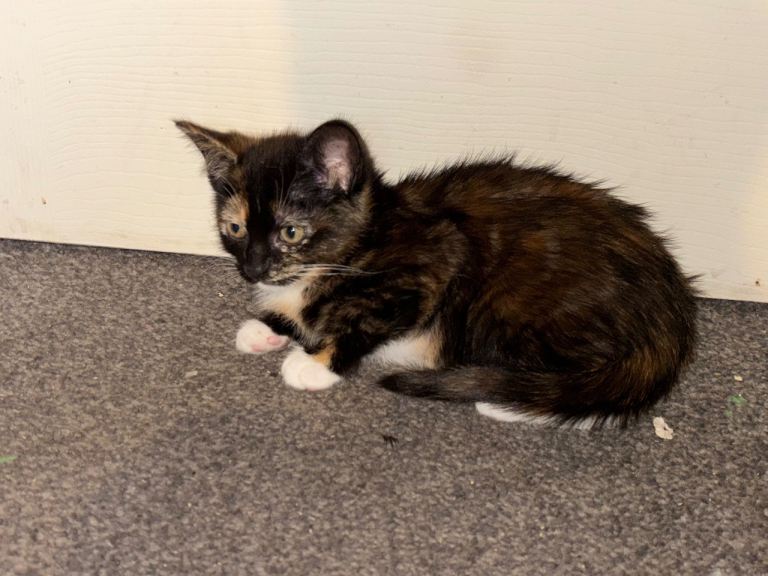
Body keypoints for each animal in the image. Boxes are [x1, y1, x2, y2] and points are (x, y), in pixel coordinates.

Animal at [176, 118, 697, 428]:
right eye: (235, 228)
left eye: (290, 232)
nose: (252, 269)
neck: (363, 242)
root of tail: (671, 319)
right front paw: (266, 327)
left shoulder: (438, 258)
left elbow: (364, 318)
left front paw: (315, 362)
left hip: (507, 303)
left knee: (601, 390)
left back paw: (508, 399)